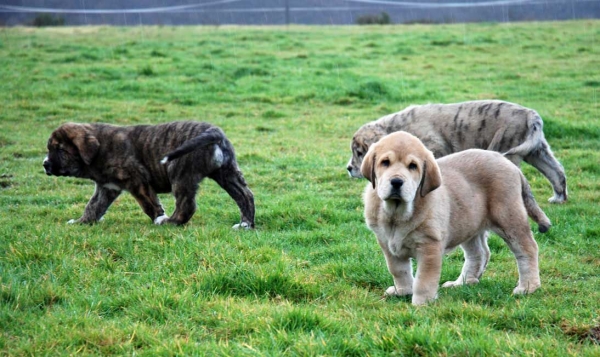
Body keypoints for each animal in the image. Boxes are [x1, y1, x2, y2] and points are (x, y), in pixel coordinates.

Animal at [44, 120, 255, 228]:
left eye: (60, 150)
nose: (45, 164)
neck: (100, 149)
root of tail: (214, 131)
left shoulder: (137, 180)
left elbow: (149, 204)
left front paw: (158, 217)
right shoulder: (107, 188)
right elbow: (93, 206)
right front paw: (81, 222)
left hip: (179, 172)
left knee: (186, 205)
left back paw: (169, 222)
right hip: (227, 172)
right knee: (245, 196)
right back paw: (245, 224)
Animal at [346, 100, 568, 203]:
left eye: (359, 152)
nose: (349, 168)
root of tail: (531, 115)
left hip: (509, 150)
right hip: (537, 151)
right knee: (557, 172)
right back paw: (559, 198)